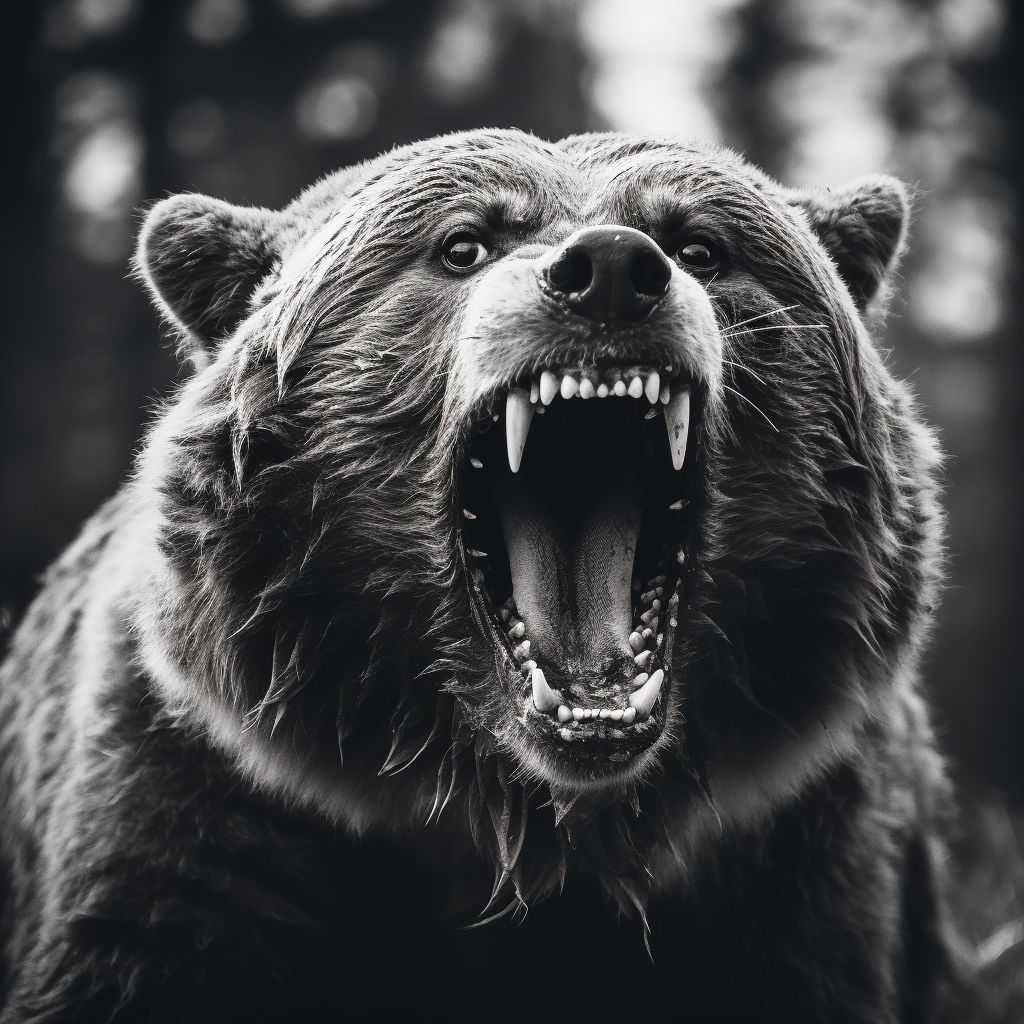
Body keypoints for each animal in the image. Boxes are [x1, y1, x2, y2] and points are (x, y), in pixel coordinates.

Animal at [0, 130, 974, 1024]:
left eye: (701, 245)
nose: (611, 270)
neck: (526, 819)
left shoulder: (800, 861)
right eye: (463, 243)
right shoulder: (201, 811)